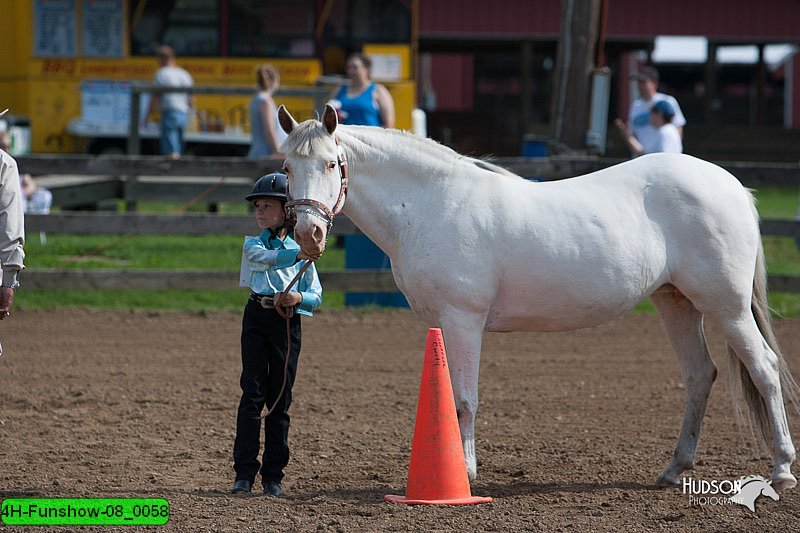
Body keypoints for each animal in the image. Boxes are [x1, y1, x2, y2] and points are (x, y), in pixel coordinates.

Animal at [276, 104, 800, 490]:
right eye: (286, 166)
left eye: (331, 163)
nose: (308, 235)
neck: (431, 202)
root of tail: (731, 185)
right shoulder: (443, 323)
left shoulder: (464, 318)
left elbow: (464, 399)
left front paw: (465, 474)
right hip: (676, 302)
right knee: (699, 375)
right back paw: (674, 470)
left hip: (726, 307)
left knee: (764, 369)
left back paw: (781, 469)